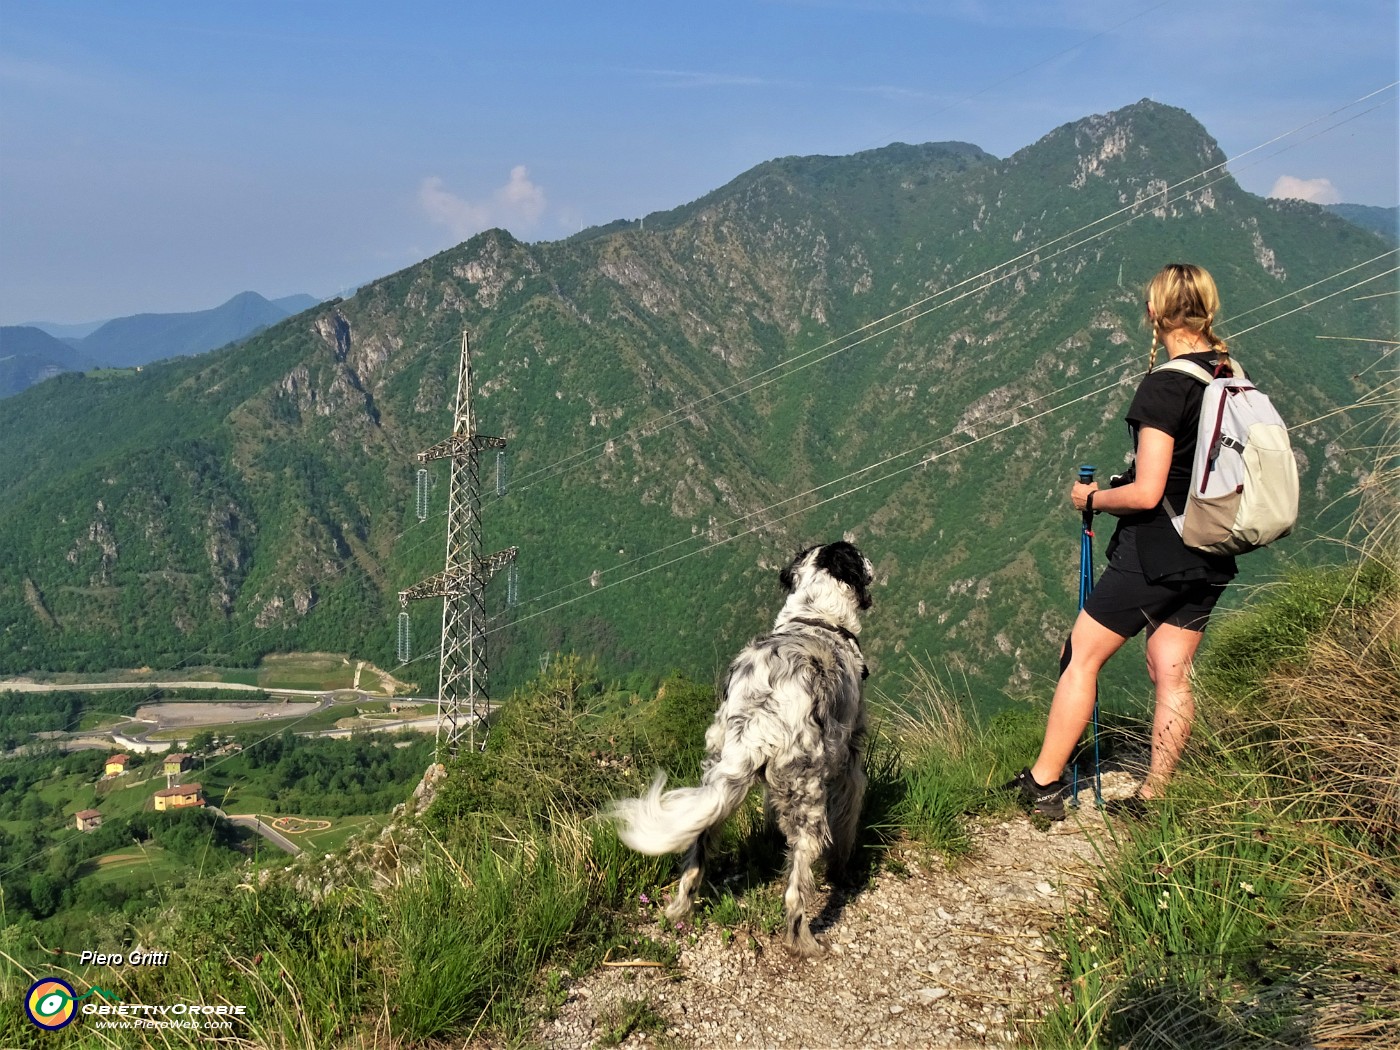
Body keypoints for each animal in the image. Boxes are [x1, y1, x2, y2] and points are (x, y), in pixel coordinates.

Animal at [604, 543, 868, 963]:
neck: (816, 617)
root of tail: (760, 710)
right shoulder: (850, 761)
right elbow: (847, 826)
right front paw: (842, 874)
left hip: (718, 771)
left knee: (695, 852)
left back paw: (679, 910)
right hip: (807, 792)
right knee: (796, 890)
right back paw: (805, 942)